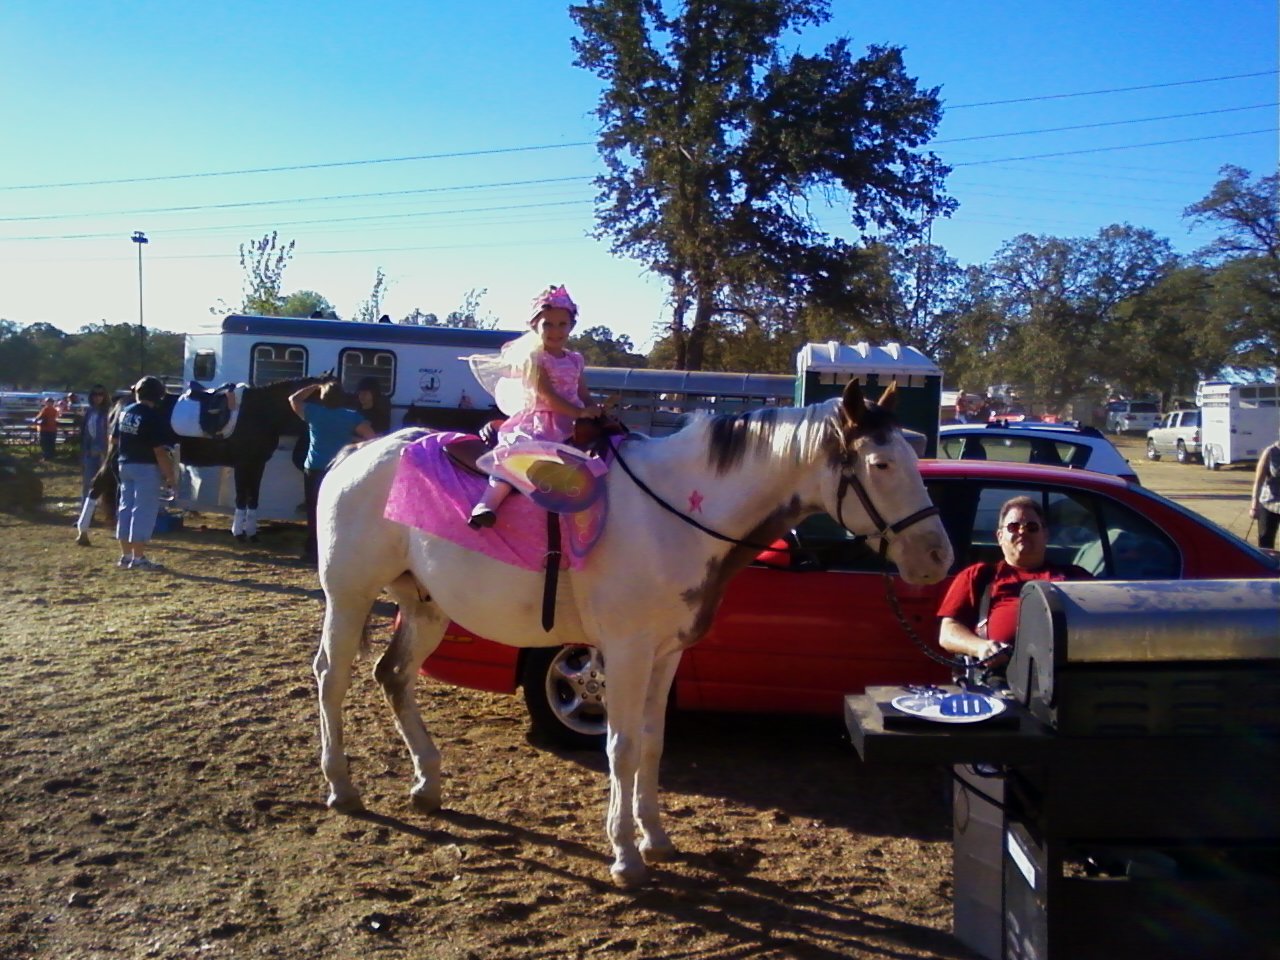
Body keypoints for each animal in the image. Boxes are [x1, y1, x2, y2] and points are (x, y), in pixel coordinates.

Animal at [81, 374, 334, 543]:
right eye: (333, 392)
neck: (259, 412)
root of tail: (121, 402)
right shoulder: (243, 464)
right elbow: (242, 497)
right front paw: (239, 533)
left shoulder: (257, 464)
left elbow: (253, 498)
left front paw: (251, 533)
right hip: (116, 455)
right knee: (99, 484)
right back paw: (85, 531)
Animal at [313, 380, 953, 886]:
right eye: (881, 465)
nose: (937, 558)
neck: (673, 515)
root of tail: (361, 451)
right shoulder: (622, 654)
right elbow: (619, 747)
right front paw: (625, 855)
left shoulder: (665, 656)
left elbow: (651, 741)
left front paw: (656, 837)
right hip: (348, 597)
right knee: (332, 678)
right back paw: (341, 786)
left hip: (424, 607)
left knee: (393, 675)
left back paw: (427, 783)